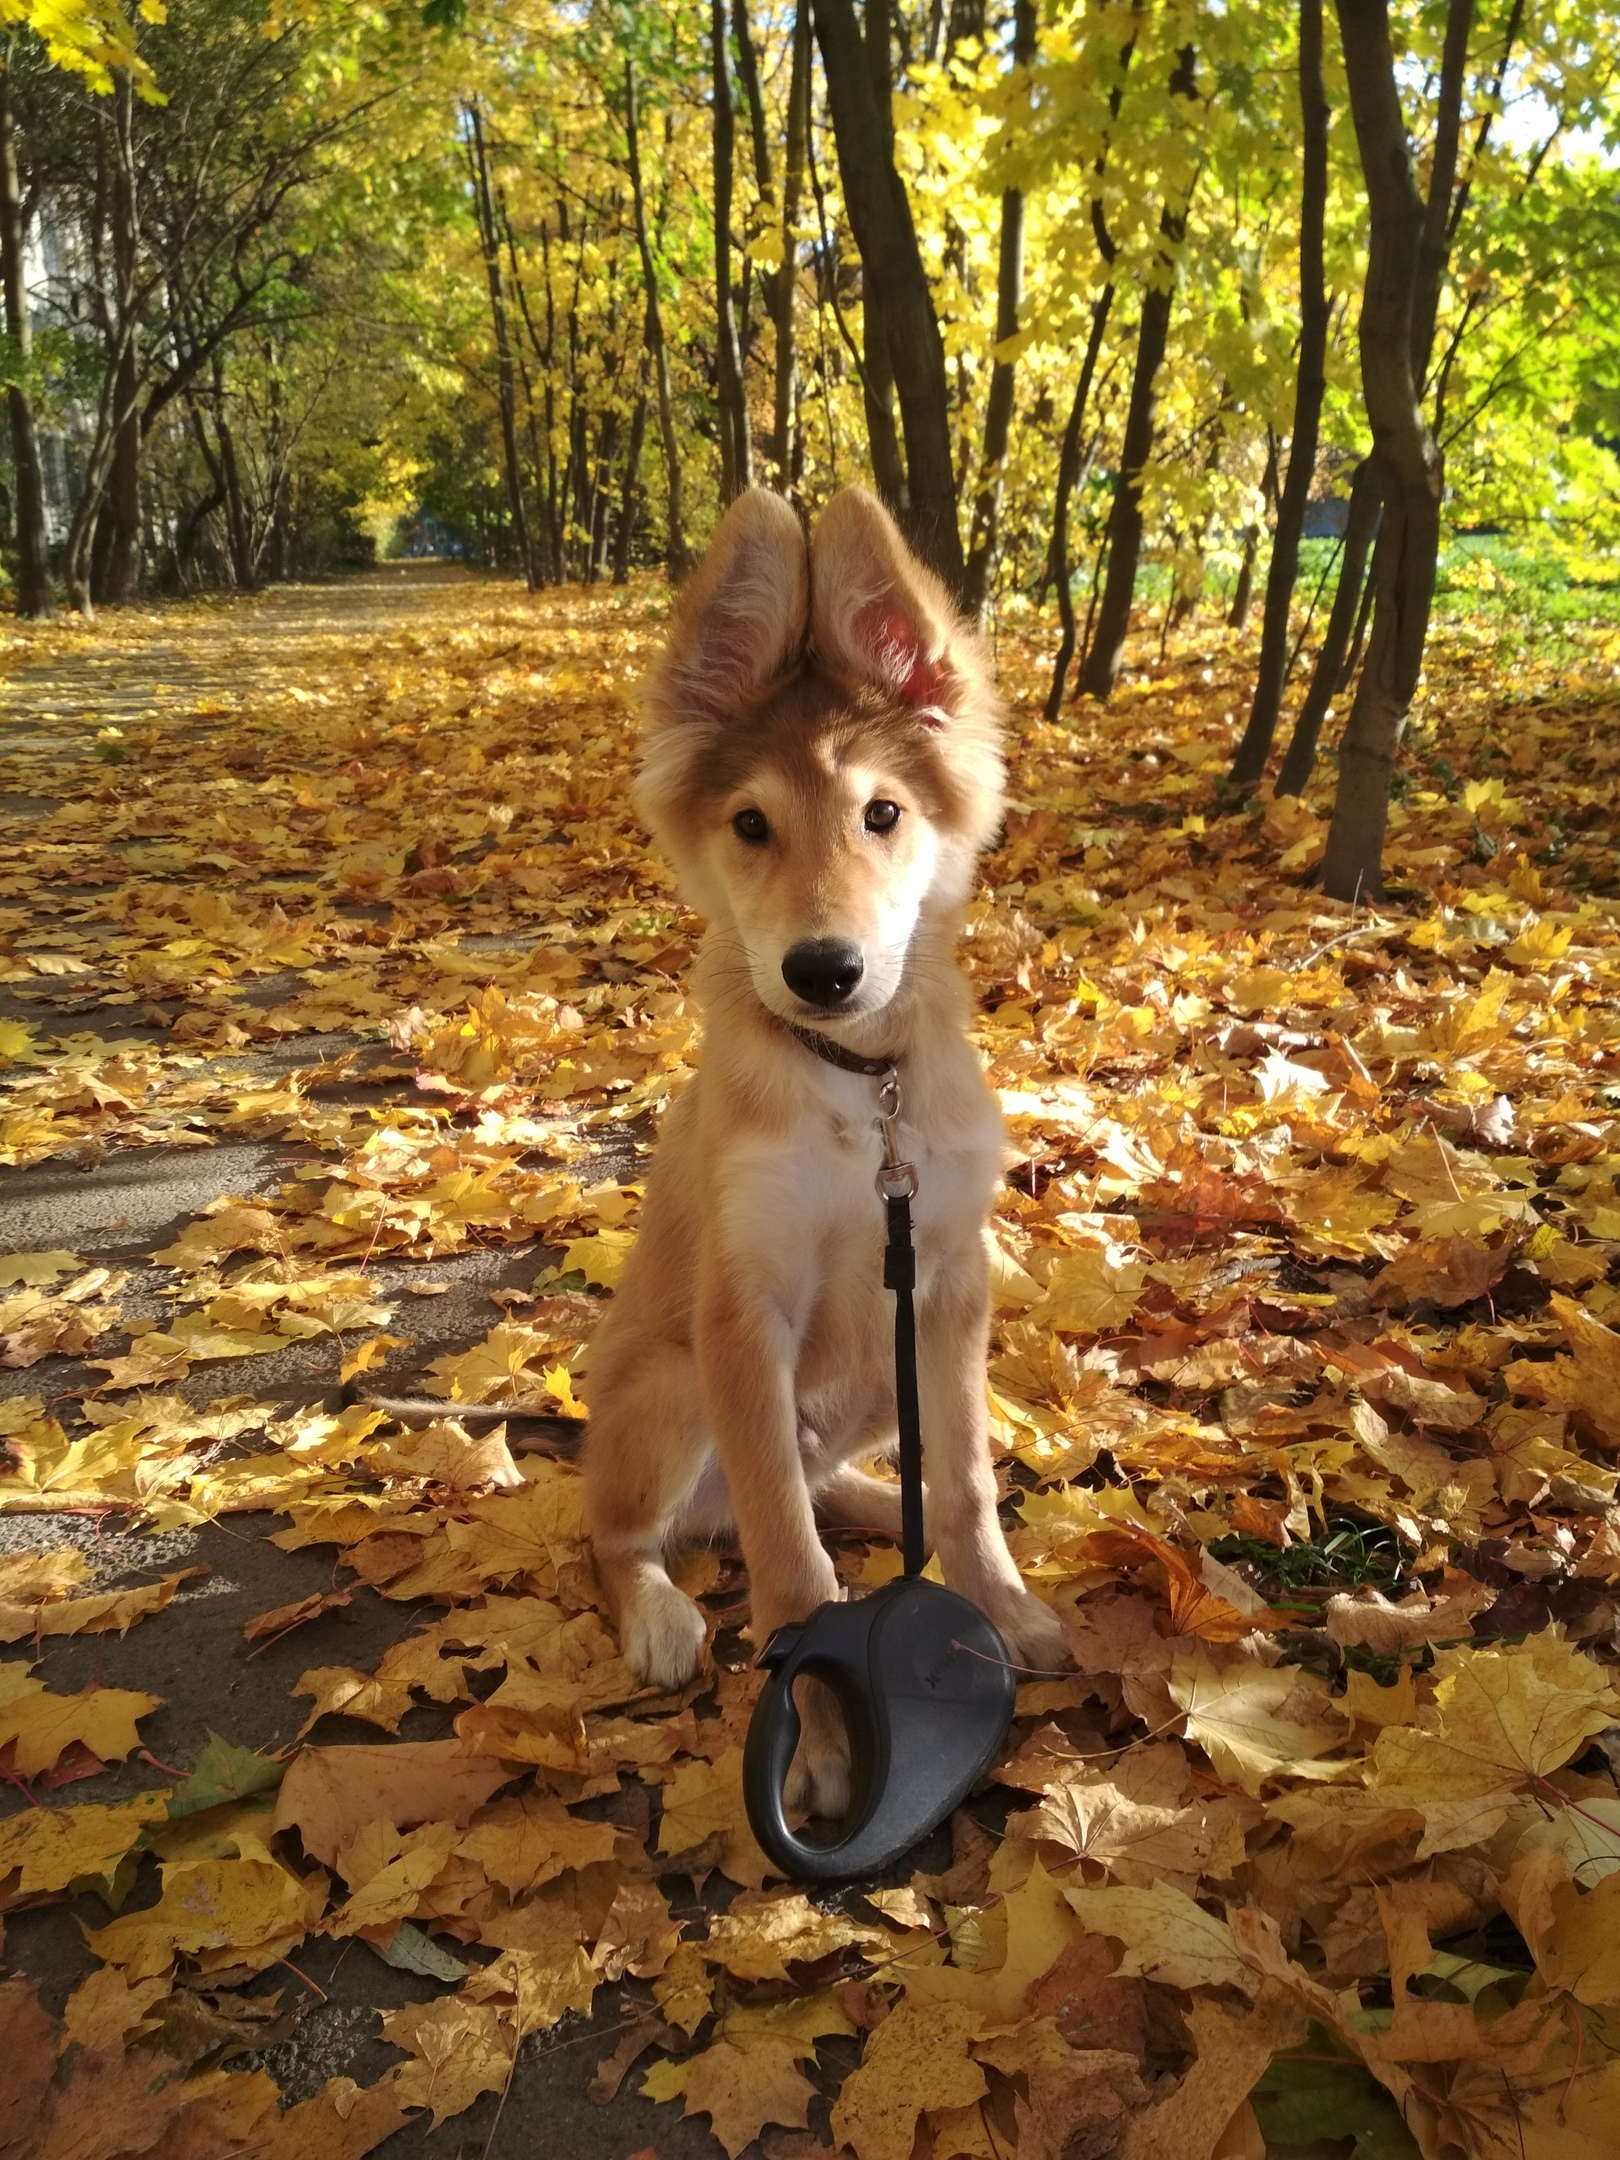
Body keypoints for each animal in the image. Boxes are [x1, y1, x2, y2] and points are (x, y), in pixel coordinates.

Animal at [578, 486, 1067, 1805]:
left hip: (873, 1379)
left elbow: (968, 1480)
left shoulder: (947, 1281)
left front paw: (1003, 1606)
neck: (859, 1090)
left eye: (882, 815)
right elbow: (789, 1568)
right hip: (666, 1389)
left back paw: (879, 1507)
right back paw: (659, 1612)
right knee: (620, 1538)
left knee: (838, 1479)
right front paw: (829, 1738)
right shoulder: (743, 1313)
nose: (824, 971)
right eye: (751, 824)